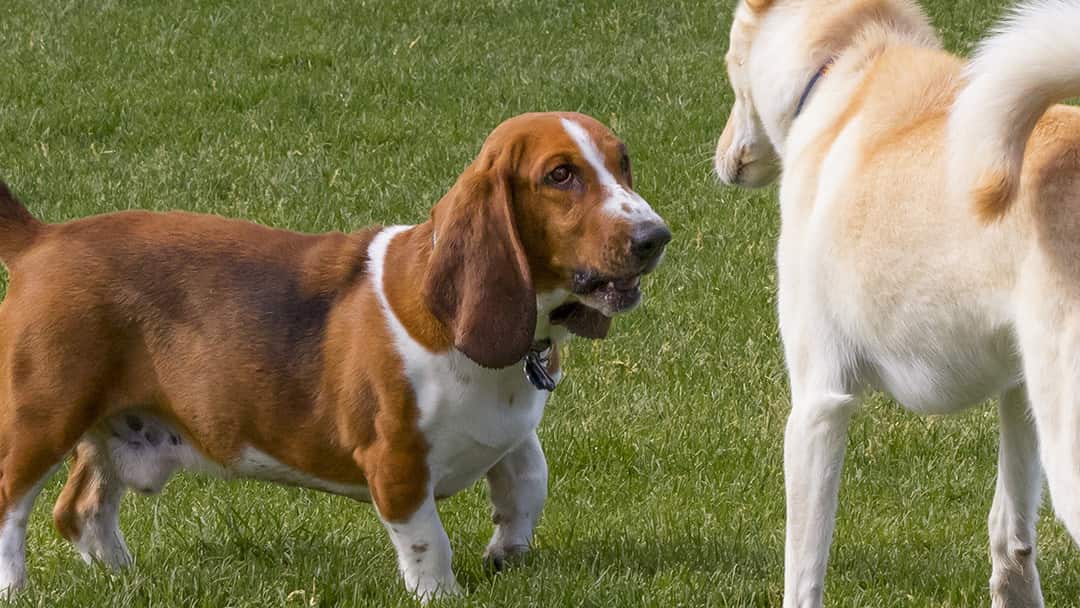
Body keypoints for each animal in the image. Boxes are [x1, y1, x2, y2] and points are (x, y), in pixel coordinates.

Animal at [0, 110, 665, 600]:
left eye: (624, 161)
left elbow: (527, 479)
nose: (656, 237)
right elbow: (429, 544)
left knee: (80, 511)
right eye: (560, 175)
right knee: (13, 506)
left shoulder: (513, 431)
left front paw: (507, 553)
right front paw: (444, 594)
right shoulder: (397, 463)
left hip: (109, 423)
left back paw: (125, 578)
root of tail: (43, 239)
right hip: (42, 419)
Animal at [717, 1, 1080, 608]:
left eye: (727, 63)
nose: (719, 160)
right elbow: (1010, 541)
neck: (845, 64)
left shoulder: (817, 404)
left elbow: (803, 573)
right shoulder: (1017, 389)